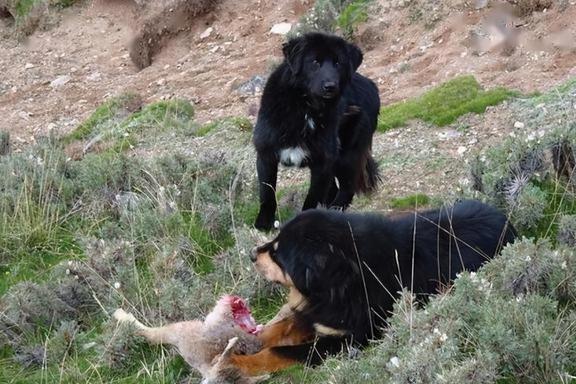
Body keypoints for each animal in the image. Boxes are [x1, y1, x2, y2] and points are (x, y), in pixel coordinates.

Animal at [230, 201, 516, 376]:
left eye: (277, 254)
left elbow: (278, 351)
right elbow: (278, 329)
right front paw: (242, 340)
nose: (252, 254)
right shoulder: (317, 314)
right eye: (273, 242)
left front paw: (238, 363)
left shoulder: (347, 340)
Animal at [253, 32, 380, 231]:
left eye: (338, 63)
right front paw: (263, 224)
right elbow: (267, 193)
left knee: (346, 189)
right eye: (314, 62)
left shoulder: (322, 163)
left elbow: (311, 199)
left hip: (346, 155)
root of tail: (371, 85)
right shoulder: (266, 155)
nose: (330, 86)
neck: (305, 108)